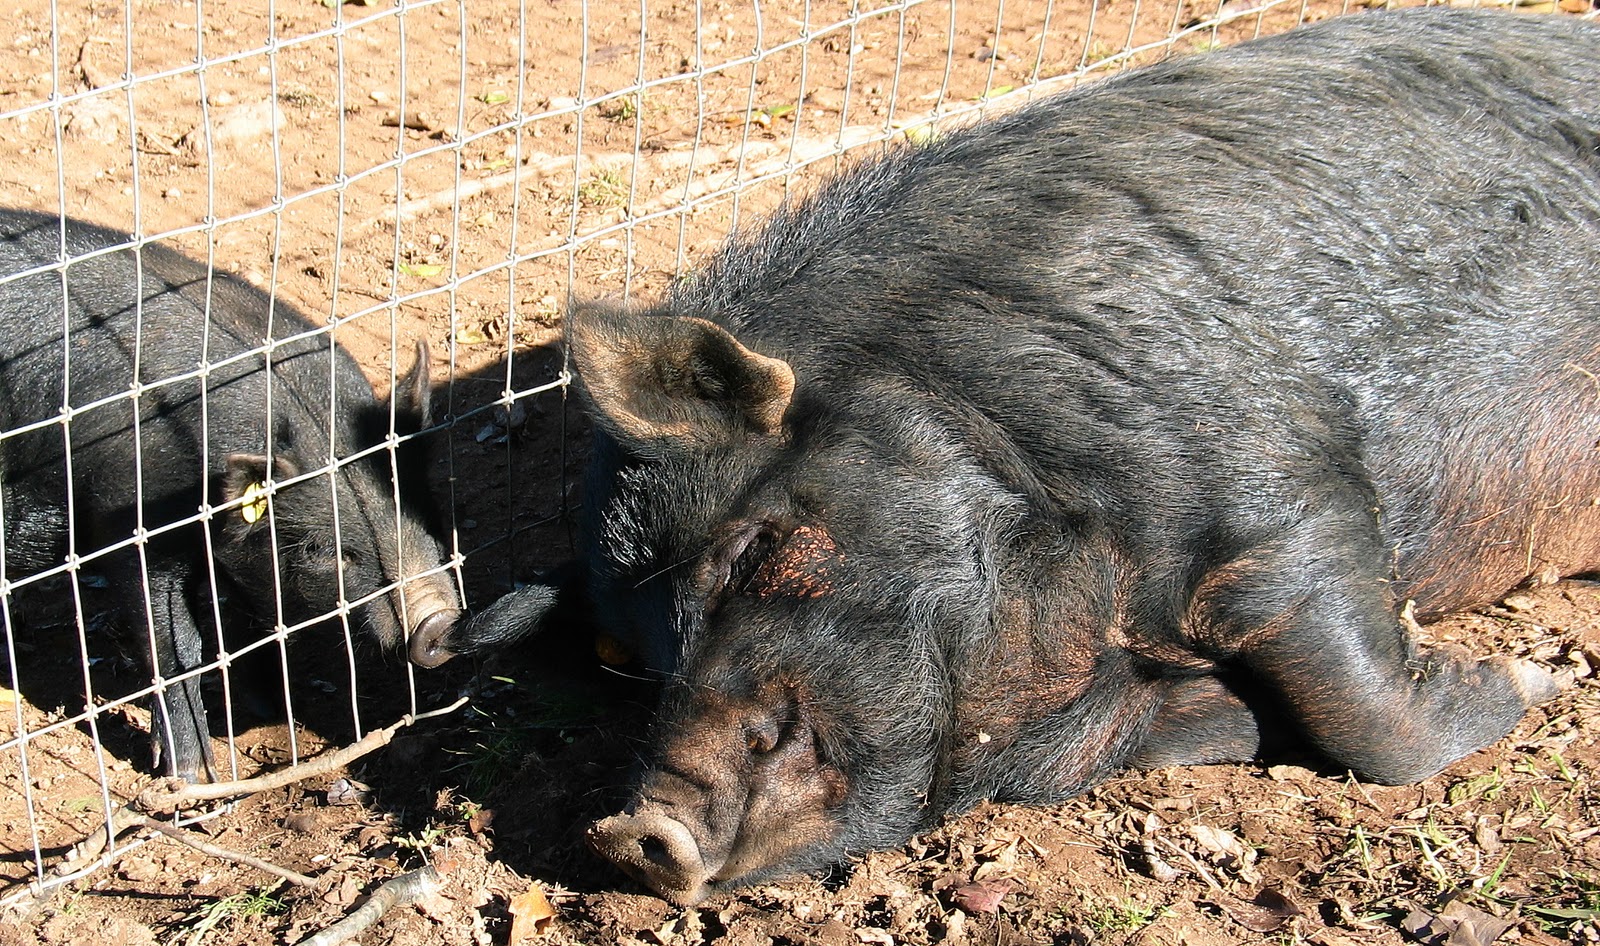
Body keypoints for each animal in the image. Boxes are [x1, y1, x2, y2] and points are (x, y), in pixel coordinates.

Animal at [0, 209, 462, 781]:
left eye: (424, 513)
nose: (438, 618)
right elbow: (175, 645)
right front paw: (193, 775)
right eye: (323, 549)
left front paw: (278, 709)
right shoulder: (130, 528)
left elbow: (254, 619)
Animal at [446, 7, 1598, 904]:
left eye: (750, 546)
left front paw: (1533, 678)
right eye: (623, 659)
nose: (633, 833)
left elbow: (1362, 705)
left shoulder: (1281, 488)